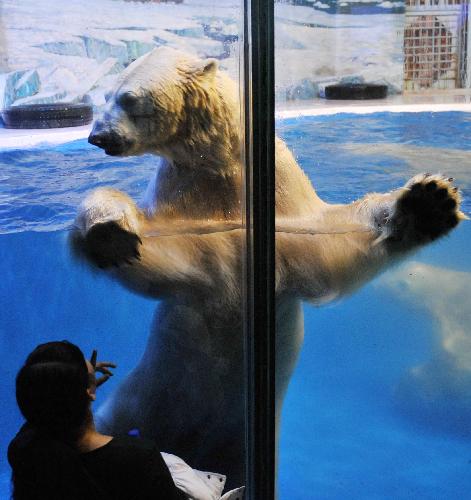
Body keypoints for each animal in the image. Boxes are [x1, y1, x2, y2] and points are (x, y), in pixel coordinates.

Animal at [72, 47, 466, 488]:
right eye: (107, 94)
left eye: (128, 98)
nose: (97, 137)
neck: (224, 165)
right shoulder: (183, 196)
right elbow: (174, 257)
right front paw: (109, 230)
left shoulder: (282, 195)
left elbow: (324, 254)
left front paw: (428, 203)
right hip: (136, 399)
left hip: (234, 433)